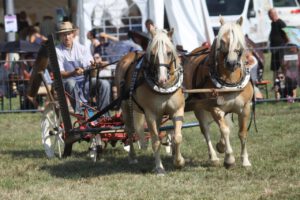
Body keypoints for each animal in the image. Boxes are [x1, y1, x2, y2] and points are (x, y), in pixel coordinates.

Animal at [115, 27, 185, 174]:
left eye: (169, 53)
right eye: (153, 54)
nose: (162, 79)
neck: (164, 88)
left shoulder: (177, 111)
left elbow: (177, 137)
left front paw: (179, 161)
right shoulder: (150, 114)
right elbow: (156, 141)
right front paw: (159, 168)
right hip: (126, 107)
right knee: (129, 130)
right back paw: (132, 157)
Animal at [183, 17, 253, 168]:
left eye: (239, 41)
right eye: (223, 41)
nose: (231, 63)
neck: (231, 82)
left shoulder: (245, 108)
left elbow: (242, 133)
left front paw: (245, 160)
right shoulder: (215, 108)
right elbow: (225, 130)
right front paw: (229, 159)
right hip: (199, 107)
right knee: (205, 130)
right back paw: (214, 157)